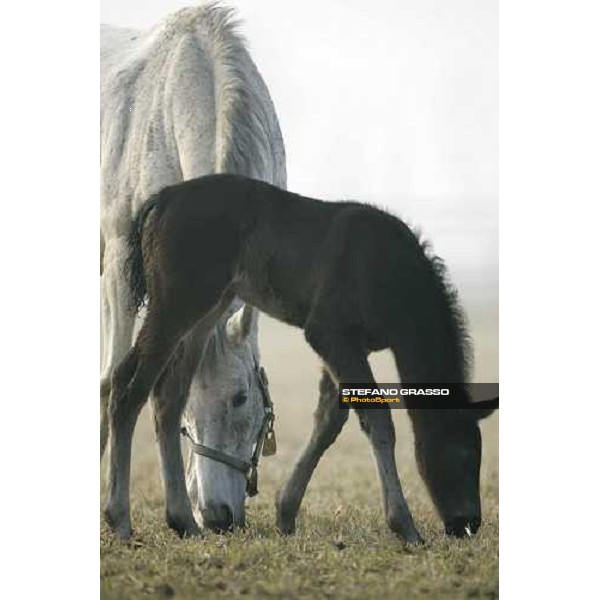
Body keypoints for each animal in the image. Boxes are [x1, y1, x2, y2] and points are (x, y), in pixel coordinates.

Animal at [100, 3, 286, 536]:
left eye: (242, 397)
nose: (221, 516)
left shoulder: (210, 302)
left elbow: (169, 388)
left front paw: (181, 513)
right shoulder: (119, 267)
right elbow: (113, 381)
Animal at [104, 173, 496, 544]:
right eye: (462, 454)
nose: (468, 524)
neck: (391, 275)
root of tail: (162, 199)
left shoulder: (348, 345)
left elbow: (329, 420)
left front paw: (286, 512)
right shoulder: (328, 332)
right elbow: (377, 419)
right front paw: (405, 526)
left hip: (206, 311)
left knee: (167, 397)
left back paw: (183, 521)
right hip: (177, 301)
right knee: (127, 387)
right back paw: (120, 519)